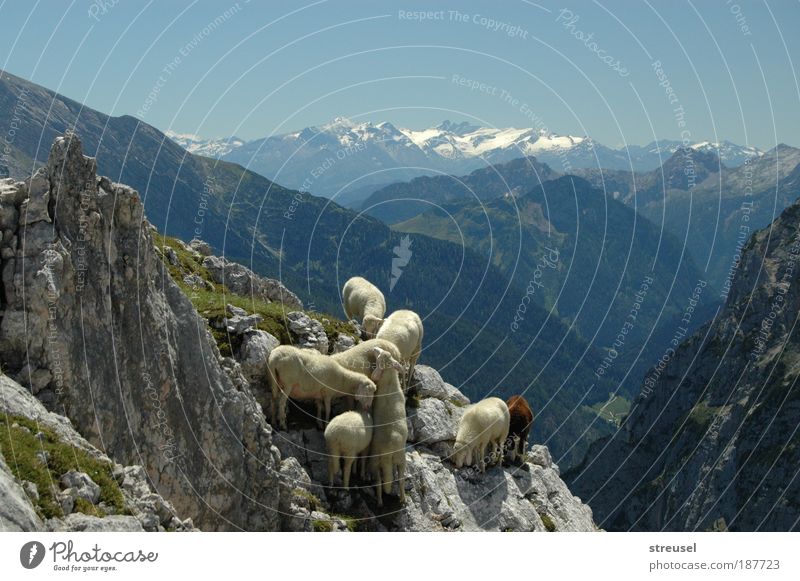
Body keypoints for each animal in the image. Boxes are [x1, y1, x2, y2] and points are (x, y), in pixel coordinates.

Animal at [368, 348, 410, 508]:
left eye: (379, 356)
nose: (374, 348)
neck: (390, 382)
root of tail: (388, 450)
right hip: (400, 459)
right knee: (400, 479)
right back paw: (403, 499)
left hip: (375, 461)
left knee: (379, 483)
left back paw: (379, 501)